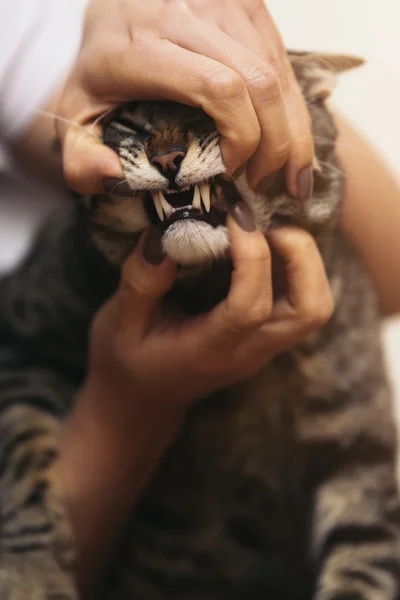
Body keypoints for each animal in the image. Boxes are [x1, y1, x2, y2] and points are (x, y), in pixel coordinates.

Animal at [0, 51, 400, 600]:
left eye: (210, 114)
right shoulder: (20, 336)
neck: (210, 289)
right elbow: (23, 457)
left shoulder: (363, 446)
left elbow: (366, 561)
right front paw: (30, 574)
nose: (168, 159)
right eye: (130, 123)